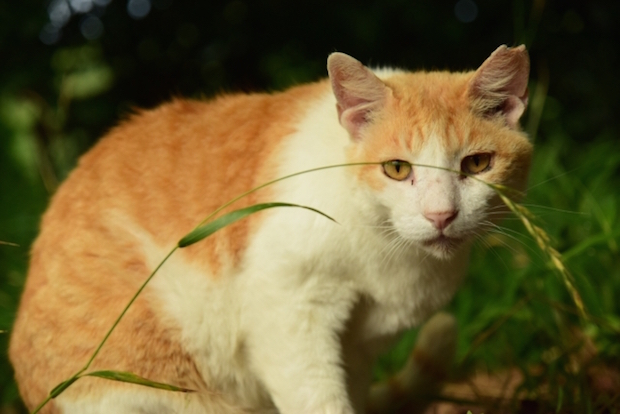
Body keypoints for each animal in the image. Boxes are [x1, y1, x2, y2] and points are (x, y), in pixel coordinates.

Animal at [9, 43, 532, 412]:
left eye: (477, 164)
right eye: (397, 169)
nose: (440, 215)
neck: (391, 254)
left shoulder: (358, 345)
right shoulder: (287, 310)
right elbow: (318, 399)